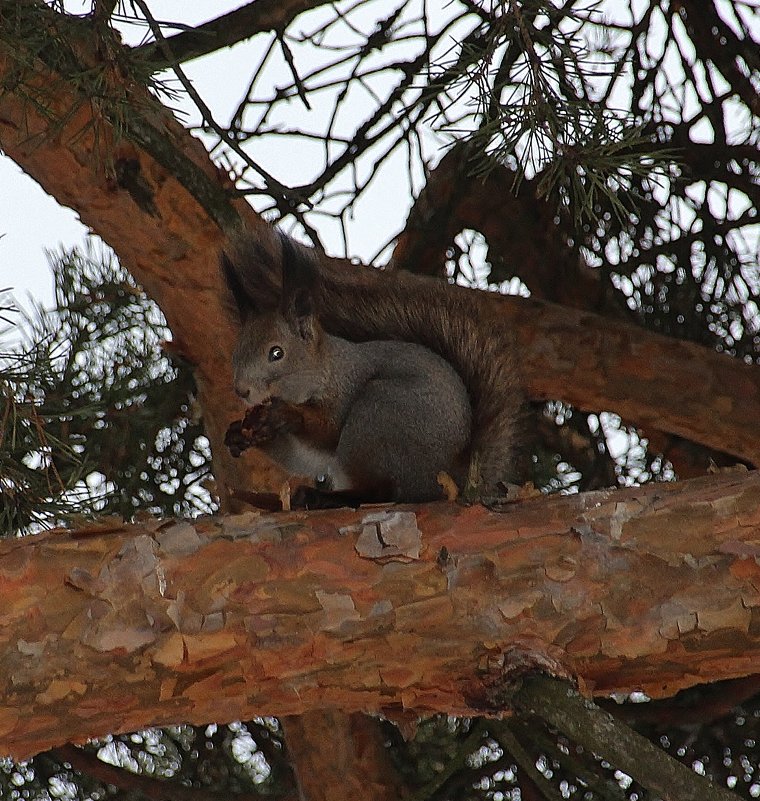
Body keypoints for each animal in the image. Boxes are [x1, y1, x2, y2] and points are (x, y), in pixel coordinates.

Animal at [218, 228, 516, 504]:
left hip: (377, 414)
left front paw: (287, 414)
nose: (241, 390)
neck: (326, 369)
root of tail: (452, 478)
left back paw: (322, 498)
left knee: (381, 491)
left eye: (276, 353)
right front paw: (239, 434)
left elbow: (326, 432)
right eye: (235, 353)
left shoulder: (345, 388)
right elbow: (304, 457)